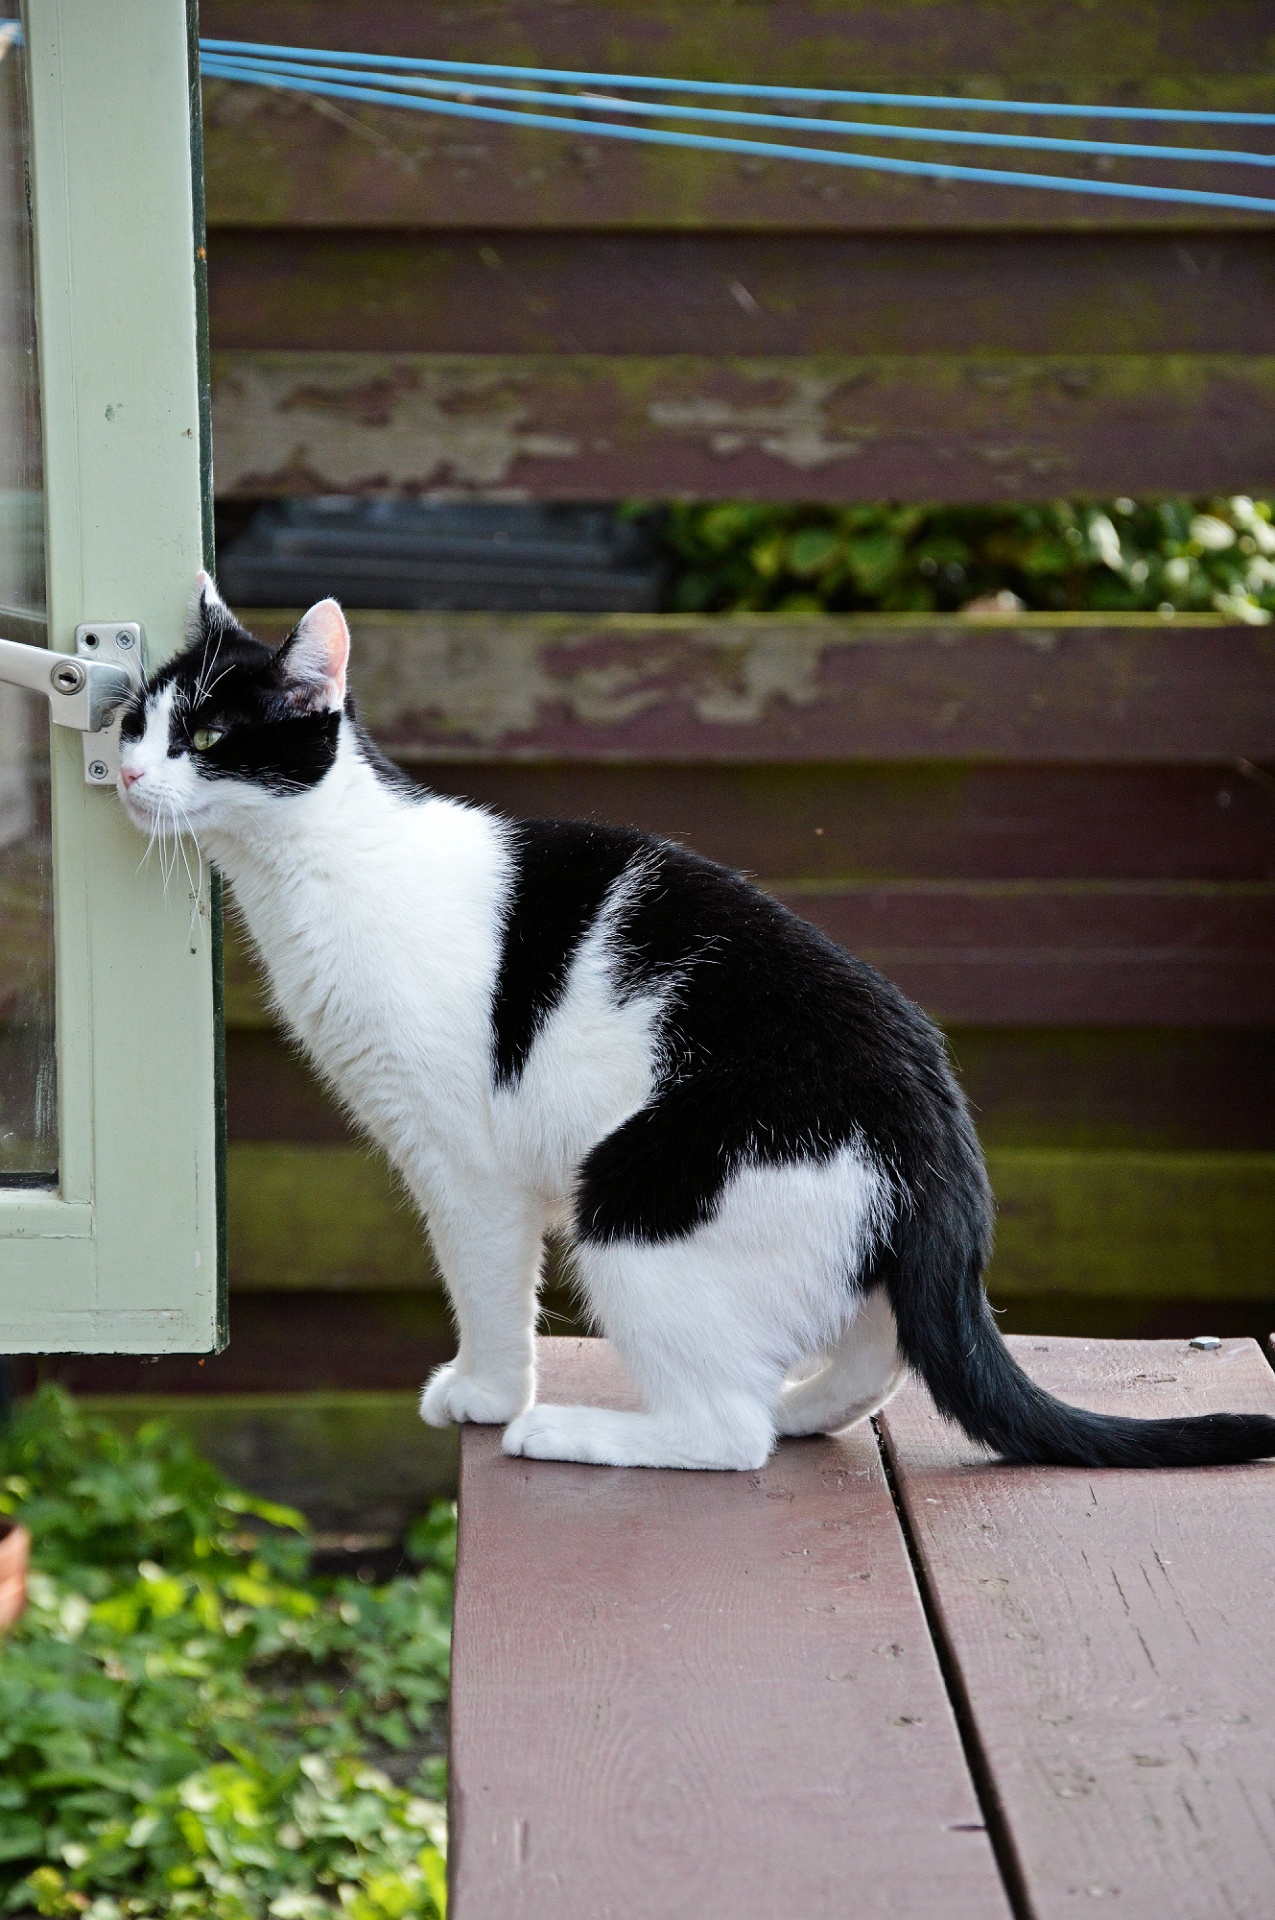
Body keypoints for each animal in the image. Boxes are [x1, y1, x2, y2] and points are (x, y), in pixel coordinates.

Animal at [117, 572, 1275, 1466]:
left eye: (207, 734)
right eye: (135, 721)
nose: (125, 769)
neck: (324, 862)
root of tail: (934, 1120)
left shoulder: (466, 1167)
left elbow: (487, 1289)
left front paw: (490, 1394)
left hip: (636, 1197)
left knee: (726, 1434)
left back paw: (578, 1433)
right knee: (874, 1351)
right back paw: (805, 1404)